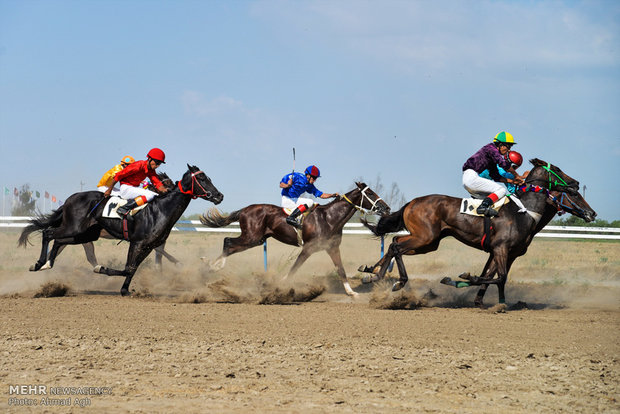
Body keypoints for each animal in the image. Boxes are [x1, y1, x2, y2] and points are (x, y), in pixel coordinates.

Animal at [18, 163, 223, 296]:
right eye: (202, 178)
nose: (219, 196)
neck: (161, 209)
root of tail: (70, 199)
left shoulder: (149, 246)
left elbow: (132, 269)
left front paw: (124, 289)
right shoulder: (138, 242)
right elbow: (127, 268)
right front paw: (104, 270)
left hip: (83, 234)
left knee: (59, 240)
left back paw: (47, 264)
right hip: (74, 228)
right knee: (49, 233)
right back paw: (39, 263)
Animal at [201, 183, 390, 296]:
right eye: (370, 192)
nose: (386, 207)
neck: (329, 218)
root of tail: (244, 210)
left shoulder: (332, 248)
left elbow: (341, 270)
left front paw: (351, 292)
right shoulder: (308, 248)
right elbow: (295, 267)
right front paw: (280, 285)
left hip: (257, 238)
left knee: (229, 244)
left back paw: (212, 265)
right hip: (251, 237)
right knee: (228, 242)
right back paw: (212, 265)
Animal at [358, 158, 596, 308]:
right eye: (557, 169)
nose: (592, 213)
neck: (524, 212)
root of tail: (412, 202)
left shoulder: (506, 253)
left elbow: (493, 277)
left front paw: (492, 302)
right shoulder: (500, 248)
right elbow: (498, 277)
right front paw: (464, 280)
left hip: (428, 242)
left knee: (394, 242)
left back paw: (374, 273)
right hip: (425, 237)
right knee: (396, 245)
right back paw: (395, 280)